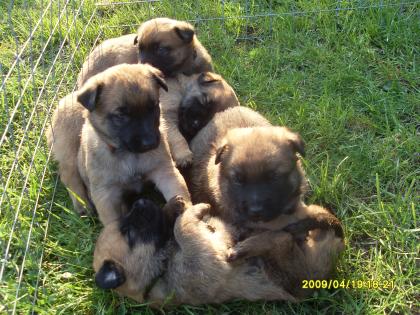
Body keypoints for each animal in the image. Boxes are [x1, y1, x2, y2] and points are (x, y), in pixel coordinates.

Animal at [47, 63, 190, 225]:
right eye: (121, 115)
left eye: (153, 107)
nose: (150, 143)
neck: (128, 155)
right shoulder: (105, 194)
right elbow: (112, 223)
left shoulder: (164, 171)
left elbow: (180, 191)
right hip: (69, 149)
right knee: (68, 174)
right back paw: (82, 204)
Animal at [93, 198, 302, 306]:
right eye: (128, 232)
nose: (140, 200)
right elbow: (181, 228)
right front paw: (195, 211)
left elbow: (174, 223)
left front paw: (173, 206)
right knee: (283, 239)